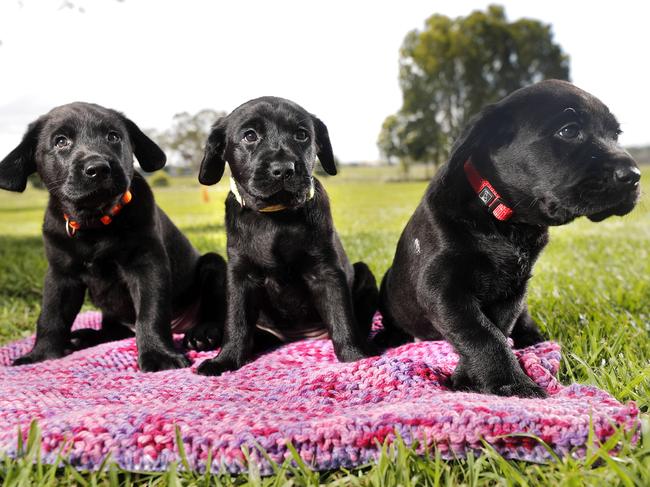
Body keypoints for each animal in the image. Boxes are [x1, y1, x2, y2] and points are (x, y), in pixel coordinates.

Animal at [0, 102, 227, 370]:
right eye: (61, 141)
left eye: (113, 136)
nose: (98, 169)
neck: (95, 223)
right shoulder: (60, 274)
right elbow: (50, 316)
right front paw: (40, 356)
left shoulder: (147, 264)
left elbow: (150, 313)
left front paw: (158, 355)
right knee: (113, 332)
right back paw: (82, 337)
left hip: (214, 265)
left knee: (217, 312)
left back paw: (203, 334)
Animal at [194, 96, 374, 378]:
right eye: (249, 135)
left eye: (301, 135)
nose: (283, 169)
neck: (276, 216)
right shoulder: (240, 273)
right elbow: (236, 322)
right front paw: (226, 359)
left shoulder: (326, 270)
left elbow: (341, 317)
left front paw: (356, 357)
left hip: (364, 272)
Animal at [380, 80, 636, 398]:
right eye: (568, 131)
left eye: (615, 135)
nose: (634, 175)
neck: (506, 222)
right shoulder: (440, 287)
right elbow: (480, 333)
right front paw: (512, 384)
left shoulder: (513, 290)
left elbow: (496, 330)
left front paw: (470, 377)